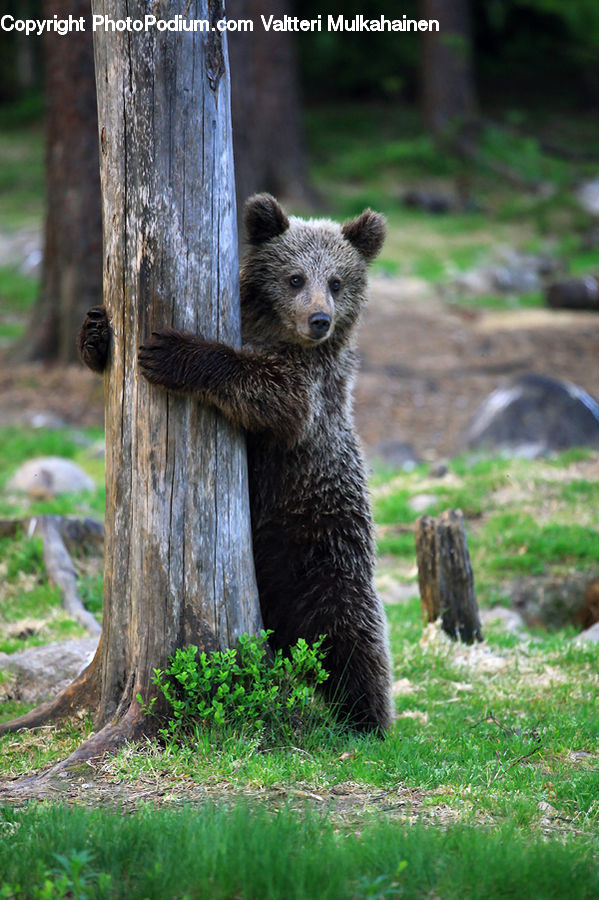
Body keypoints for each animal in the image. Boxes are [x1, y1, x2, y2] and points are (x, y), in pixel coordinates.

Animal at [78, 194, 394, 732]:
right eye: (295, 278)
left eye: (336, 281)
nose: (319, 320)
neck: (274, 331)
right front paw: (97, 332)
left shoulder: (311, 391)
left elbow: (273, 394)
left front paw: (172, 351)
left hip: (323, 542)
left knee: (351, 633)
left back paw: (368, 718)